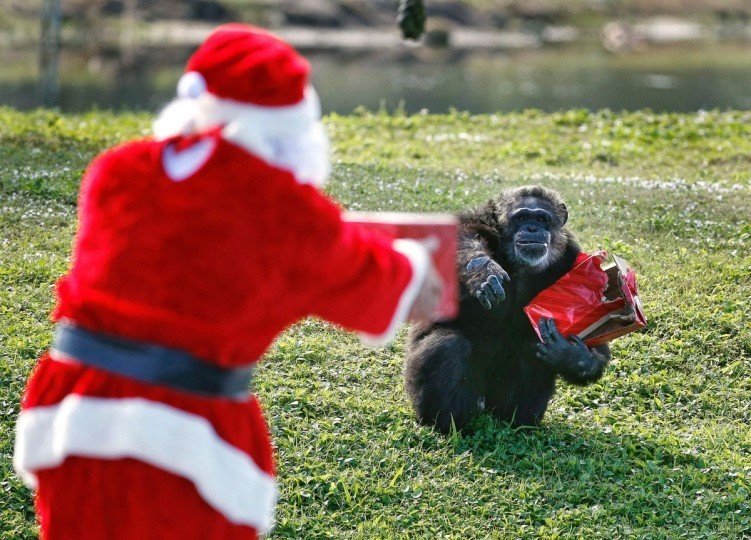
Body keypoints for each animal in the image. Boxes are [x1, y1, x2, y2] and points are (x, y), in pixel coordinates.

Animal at [406, 187, 612, 434]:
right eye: (522, 217)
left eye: (541, 219)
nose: (532, 228)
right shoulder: (481, 220)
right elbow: (456, 236)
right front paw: (482, 269)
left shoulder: (574, 261)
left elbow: (597, 340)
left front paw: (570, 354)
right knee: (448, 346)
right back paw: (448, 424)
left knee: (530, 350)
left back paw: (518, 422)